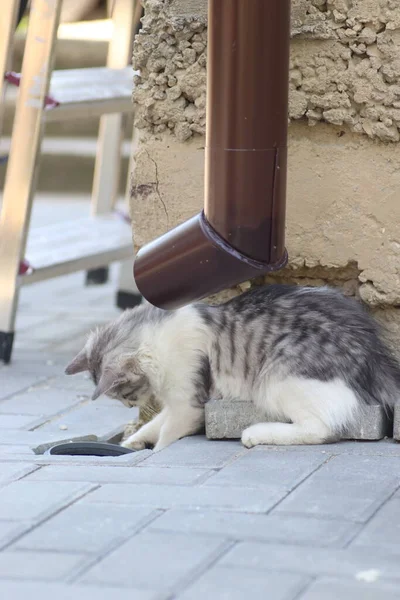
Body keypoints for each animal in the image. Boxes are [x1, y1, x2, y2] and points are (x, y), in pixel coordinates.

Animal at [64, 284, 398, 450]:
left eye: (125, 394)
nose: (128, 406)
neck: (155, 337)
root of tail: (372, 350)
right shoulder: (176, 402)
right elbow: (154, 424)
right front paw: (133, 441)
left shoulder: (188, 405)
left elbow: (167, 434)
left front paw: (153, 450)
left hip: (275, 380)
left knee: (322, 431)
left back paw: (256, 434)